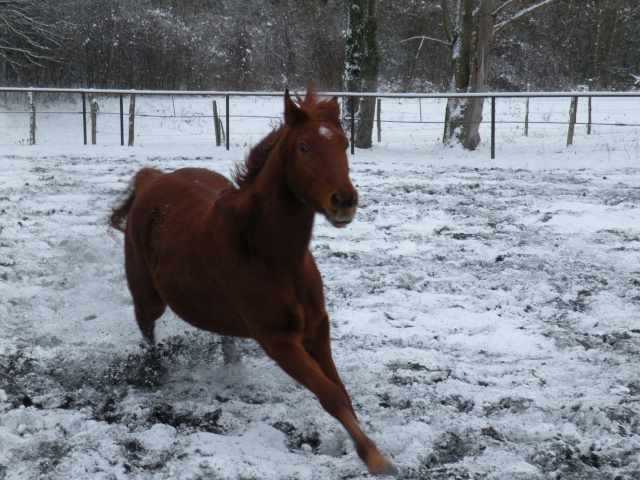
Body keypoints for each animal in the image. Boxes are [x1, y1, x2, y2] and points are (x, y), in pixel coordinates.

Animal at [109, 87, 398, 476]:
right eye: (304, 147)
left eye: (343, 142)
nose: (345, 201)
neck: (271, 254)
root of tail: (151, 180)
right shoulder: (278, 340)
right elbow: (331, 394)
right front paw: (376, 458)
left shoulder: (317, 328)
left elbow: (341, 391)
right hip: (148, 297)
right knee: (147, 331)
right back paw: (155, 373)